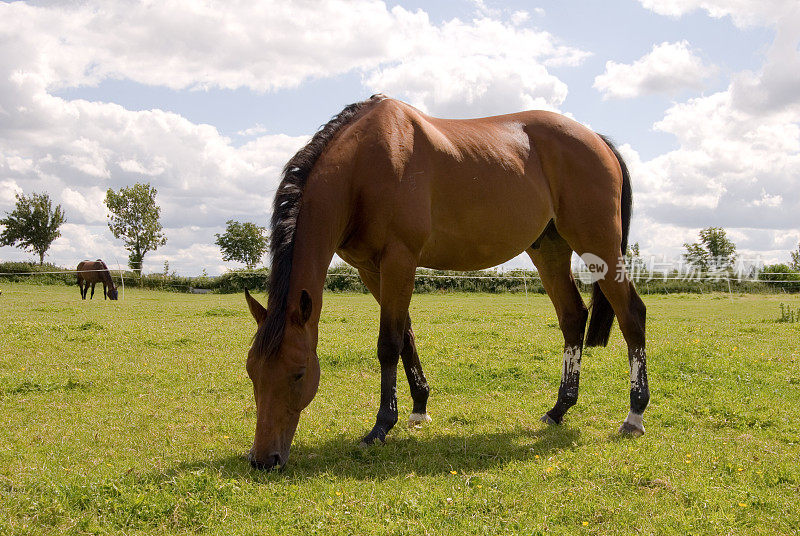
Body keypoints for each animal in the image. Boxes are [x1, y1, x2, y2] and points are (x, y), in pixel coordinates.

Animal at [244, 95, 648, 468]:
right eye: (252, 372)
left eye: (298, 374)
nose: (264, 459)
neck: (363, 165)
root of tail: (596, 139)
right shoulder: (370, 269)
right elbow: (405, 335)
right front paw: (418, 409)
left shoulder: (399, 260)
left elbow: (388, 343)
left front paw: (380, 427)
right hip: (549, 250)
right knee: (572, 317)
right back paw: (559, 409)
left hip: (598, 245)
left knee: (632, 315)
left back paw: (634, 414)